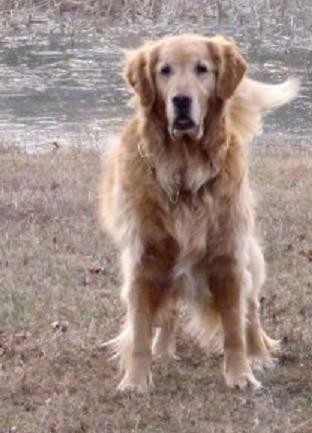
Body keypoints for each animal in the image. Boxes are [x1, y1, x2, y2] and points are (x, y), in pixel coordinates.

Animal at [99, 34, 298, 392]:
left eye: (202, 69)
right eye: (164, 70)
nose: (181, 100)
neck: (183, 170)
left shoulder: (228, 256)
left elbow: (234, 328)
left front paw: (241, 375)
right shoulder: (144, 259)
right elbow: (140, 328)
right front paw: (136, 381)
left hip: (247, 252)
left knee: (251, 307)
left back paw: (259, 354)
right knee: (167, 314)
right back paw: (163, 350)